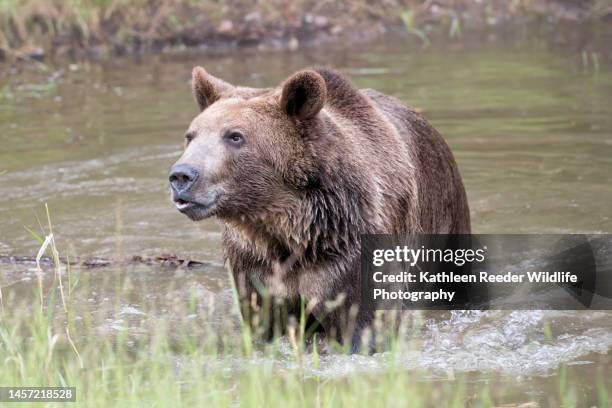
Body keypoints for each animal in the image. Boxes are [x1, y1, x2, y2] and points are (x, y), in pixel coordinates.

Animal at [170, 66, 470, 350]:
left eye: (234, 136)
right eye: (191, 136)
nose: (182, 175)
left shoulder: (352, 259)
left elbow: (364, 322)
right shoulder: (255, 266)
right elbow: (263, 322)